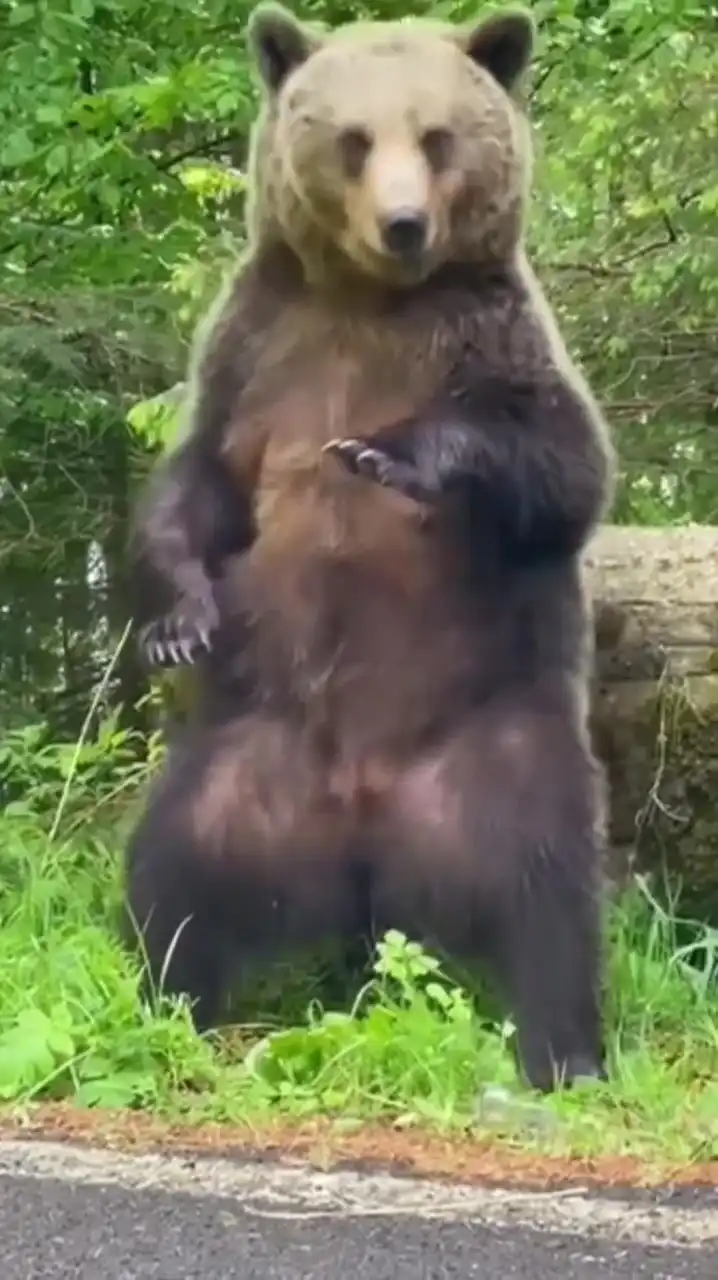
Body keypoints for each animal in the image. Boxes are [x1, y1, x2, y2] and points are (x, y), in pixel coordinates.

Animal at [124, 1, 616, 1093]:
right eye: (352, 138)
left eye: (435, 137)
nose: (403, 225)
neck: (367, 303)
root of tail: (364, 841)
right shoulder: (261, 356)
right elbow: (202, 485)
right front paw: (178, 615)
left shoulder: (491, 336)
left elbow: (564, 467)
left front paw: (389, 455)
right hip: (242, 762)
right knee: (170, 880)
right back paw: (168, 1010)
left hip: (495, 749)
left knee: (551, 900)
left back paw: (565, 1053)